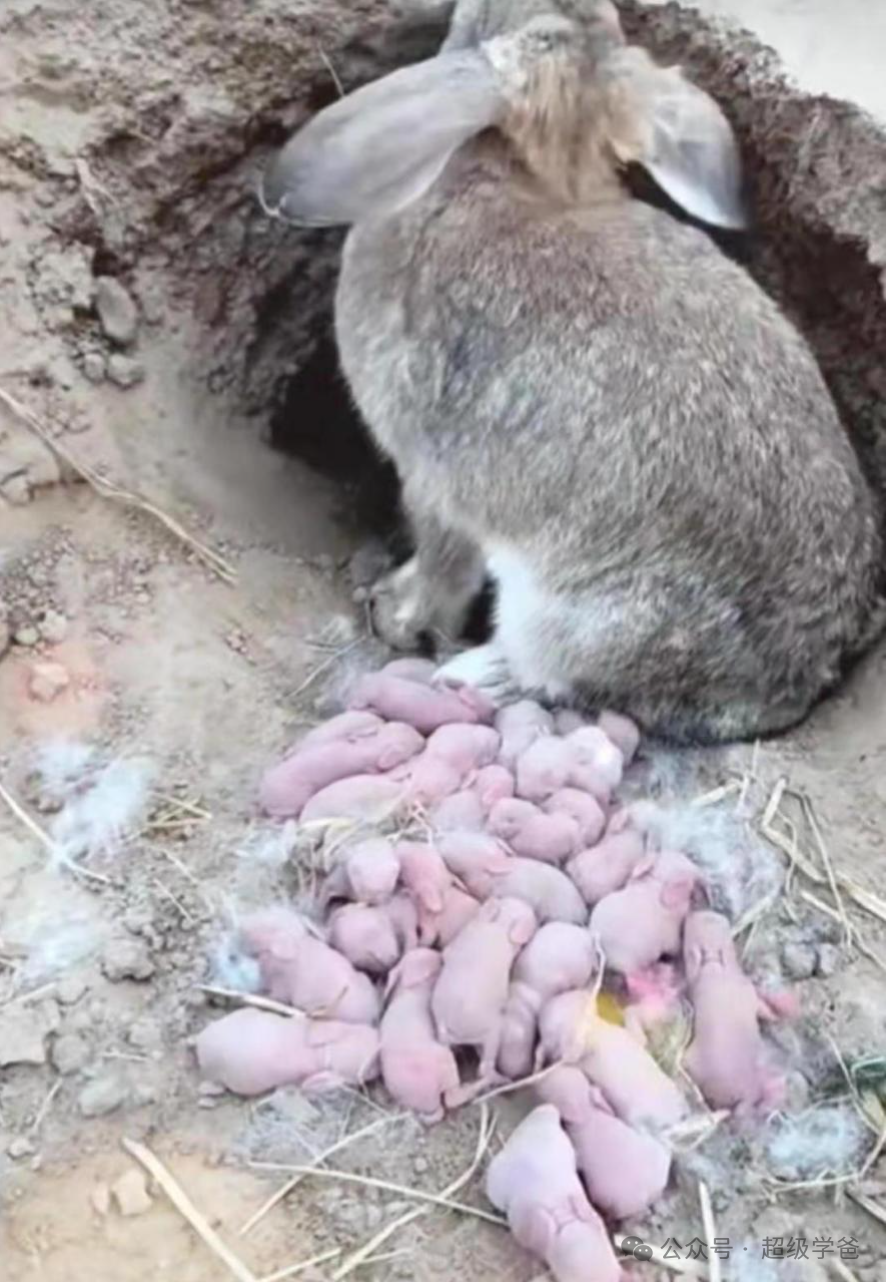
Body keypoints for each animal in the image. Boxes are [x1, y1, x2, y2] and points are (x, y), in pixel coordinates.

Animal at [263, 2, 883, 744]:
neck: (510, 171)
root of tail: (787, 686)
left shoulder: (431, 480)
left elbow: (443, 557)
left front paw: (396, 614)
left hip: (572, 612)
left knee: (554, 672)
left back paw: (474, 673)